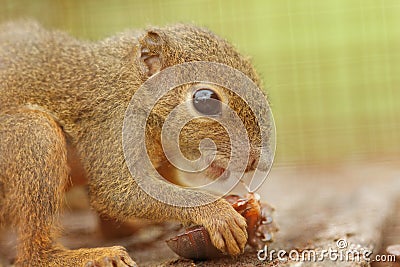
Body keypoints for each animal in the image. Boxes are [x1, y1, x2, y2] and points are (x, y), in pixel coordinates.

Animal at [0, 21, 270, 267]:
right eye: (205, 99)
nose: (257, 160)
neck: (131, 88)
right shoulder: (114, 123)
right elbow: (119, 194)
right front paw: (217, 212)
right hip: (35, 135)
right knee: (33, 257)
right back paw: (84, 256)